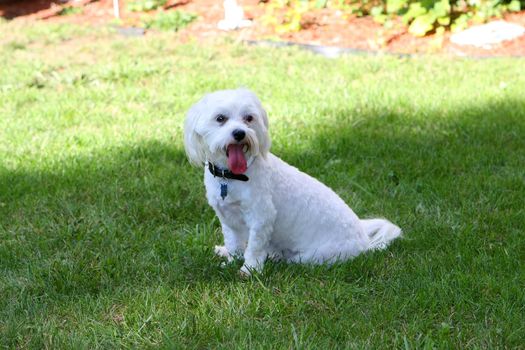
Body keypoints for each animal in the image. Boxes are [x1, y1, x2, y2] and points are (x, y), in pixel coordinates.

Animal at [184, 89, 402, 274]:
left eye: (249, 118)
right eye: (220, 118)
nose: (240, 133)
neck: (230, 177)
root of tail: (363, 239)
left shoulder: (262, 217)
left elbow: (255, 246)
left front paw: (249, 270)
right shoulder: (228, 218)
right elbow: (233, 243)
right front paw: (230, 260)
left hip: (314, 257)